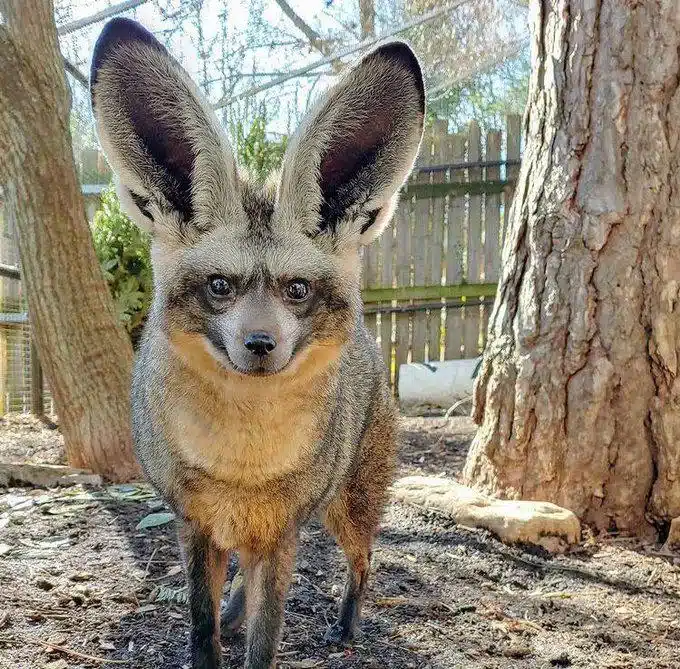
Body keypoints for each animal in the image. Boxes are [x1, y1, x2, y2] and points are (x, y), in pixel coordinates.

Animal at [88, 17, 422, 668]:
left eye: (297, 289)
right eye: (221, 285)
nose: (261, 344)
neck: (242, 466)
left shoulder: (281, 531)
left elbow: (265, 643)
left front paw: (258, 634)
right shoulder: (195, 525)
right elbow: (202, 628)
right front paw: (218, 633)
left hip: (348, 509)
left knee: (364, 560)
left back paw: (346, 625)